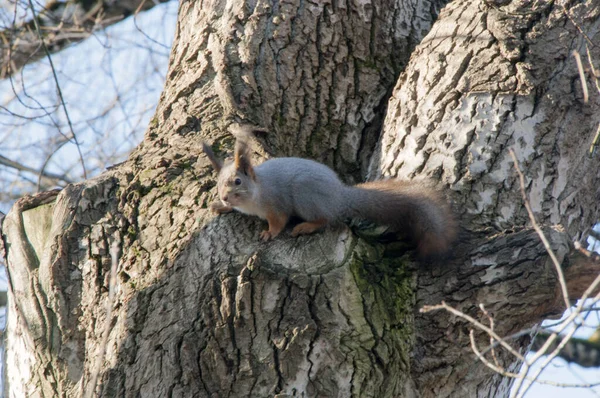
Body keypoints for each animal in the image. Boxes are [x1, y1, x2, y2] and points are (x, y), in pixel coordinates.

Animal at [202, 131, 454, 256]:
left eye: (237, 181)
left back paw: (305, 227)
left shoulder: (276, 205)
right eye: (218, 184)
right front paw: (220, 206)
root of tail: (339, 196)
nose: (224, 196)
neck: (256, 194)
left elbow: (279, 221)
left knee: (325, 219)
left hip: (305, 196)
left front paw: (269, 233)